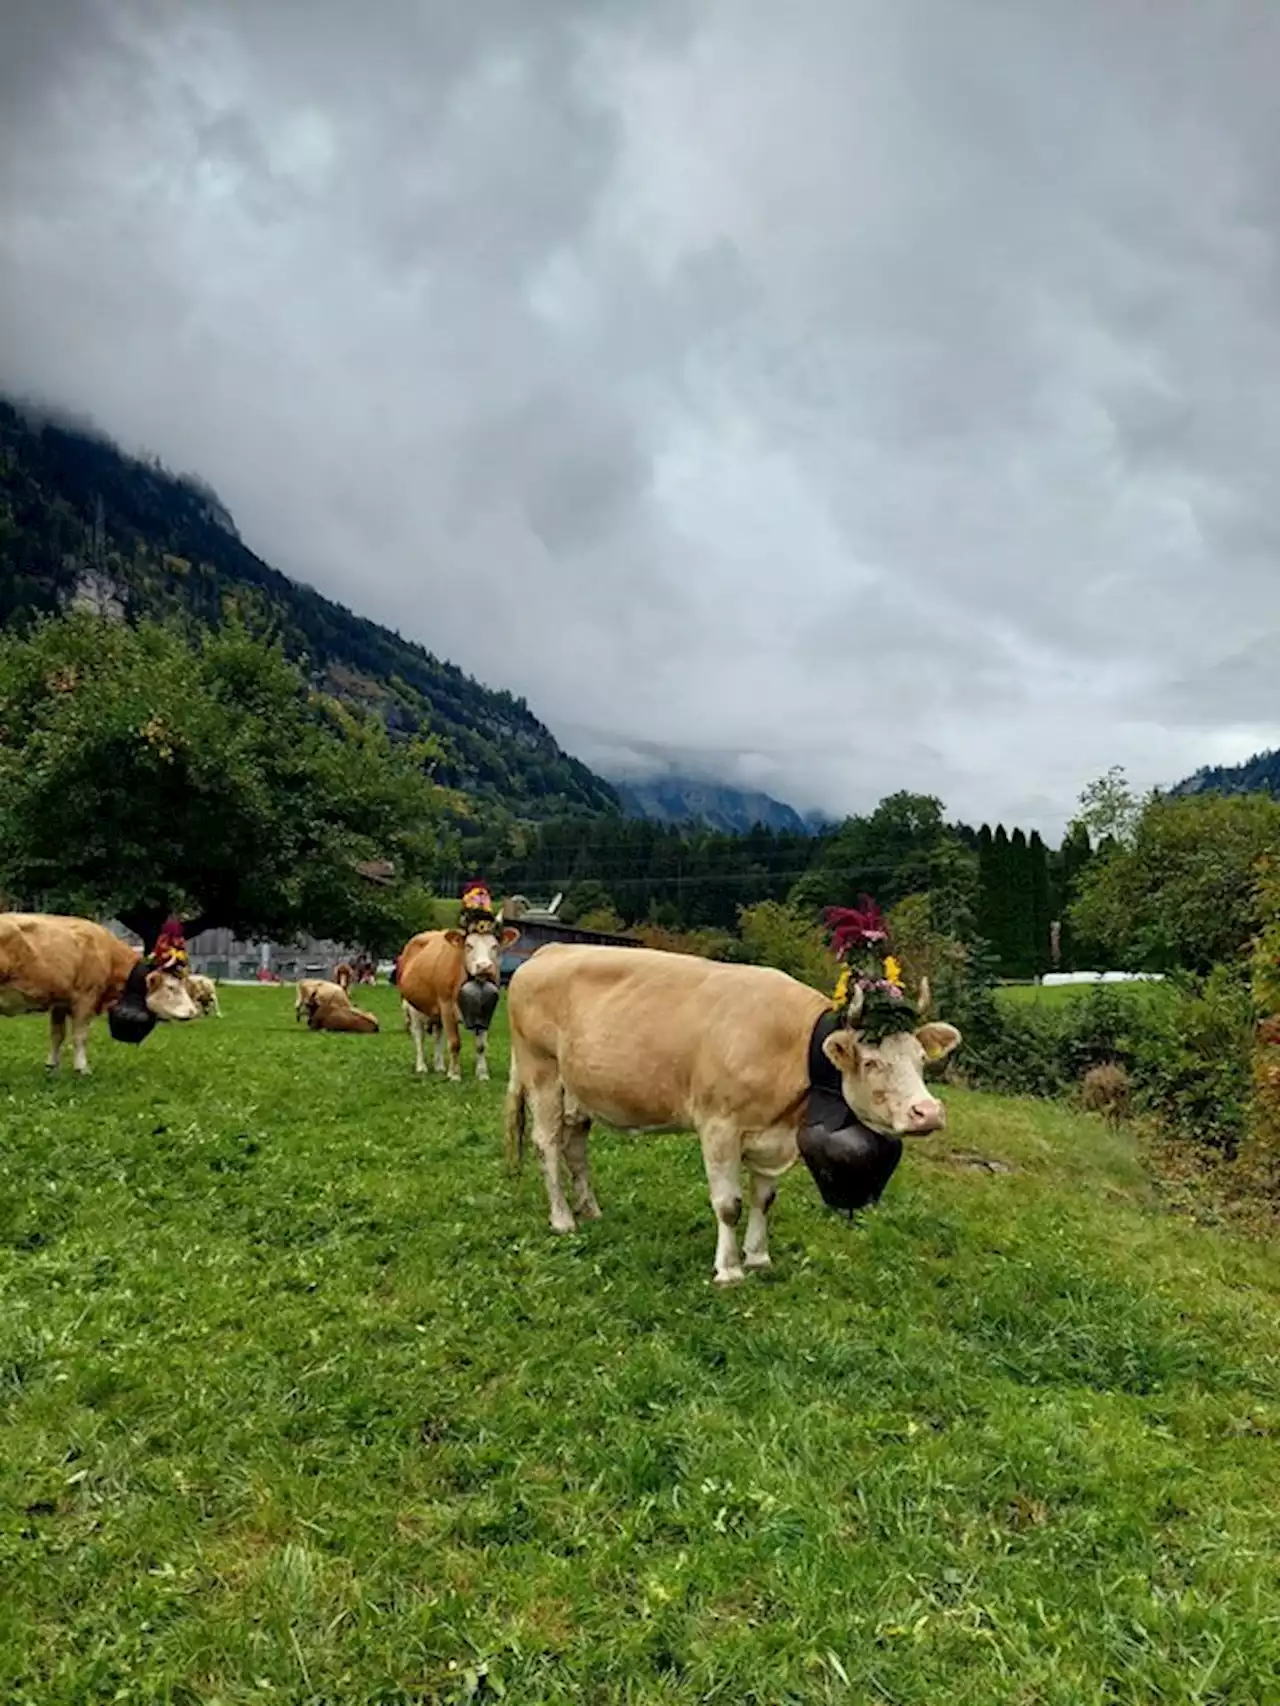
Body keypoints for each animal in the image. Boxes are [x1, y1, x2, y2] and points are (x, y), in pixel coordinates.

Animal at [0, 914, 200, 1071]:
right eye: (172, 987)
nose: (193, 1012)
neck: (108, 956)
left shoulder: (59, 1002)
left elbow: (57, 1035)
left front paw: (51, 1066)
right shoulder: (86, 998)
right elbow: (80, 1036)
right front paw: (82, 1069)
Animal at [501, 907, 962, 1282]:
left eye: (921, 1058)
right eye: (870, 1063)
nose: (928, 1112)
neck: (788, 1045)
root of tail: (549, 951)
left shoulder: (773, 1136)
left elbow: (764, 1198)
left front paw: (758, 1258)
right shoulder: (719, 1126)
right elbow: (729, 1203)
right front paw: (729, 1269)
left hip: (579, 1088)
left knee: (575, 1144)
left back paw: (591, 1209)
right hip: (542, 1071)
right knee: (547, 1143)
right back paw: (563, 1219)